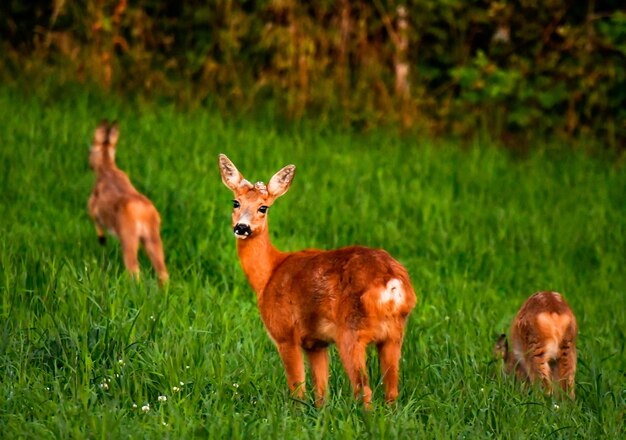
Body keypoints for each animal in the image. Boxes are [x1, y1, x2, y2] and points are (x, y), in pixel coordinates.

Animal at [86, 120, 168, 286]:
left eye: (90, 149)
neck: (107, 170)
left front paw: (102, 239)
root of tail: (143, 212)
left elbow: (96, 220)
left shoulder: (92, 205)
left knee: (134, 269)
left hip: (128, 235)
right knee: (162, 271)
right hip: (153, 236)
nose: (89, 164)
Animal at [217, 153, 416, 408]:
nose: (241, 227)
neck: (269, 274)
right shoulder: (316, 343)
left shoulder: (285, 333)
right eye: (236, 202)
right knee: (392, 391)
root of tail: (392, 283)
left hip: (351, 332)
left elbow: (297, 391)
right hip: (394, 334)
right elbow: (321, 393)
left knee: (364, 389)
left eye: (263, 207)